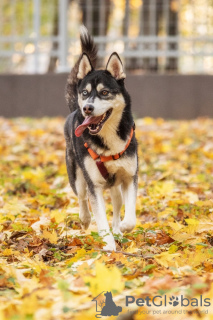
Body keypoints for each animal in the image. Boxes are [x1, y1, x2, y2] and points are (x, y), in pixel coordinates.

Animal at [64, 26, 138, 250]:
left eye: (104, 92)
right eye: (85, 93)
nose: (87, 108)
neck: (108, 139)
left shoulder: (129, 177)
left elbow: (130, 217)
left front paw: (122, 228)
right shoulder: (94, 185)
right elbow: (100, 219)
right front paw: (109, 247)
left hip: (115, 187)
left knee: (117, 204)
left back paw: (118, 229)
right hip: (77, 177)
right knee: (81, 197)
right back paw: (85, 219)